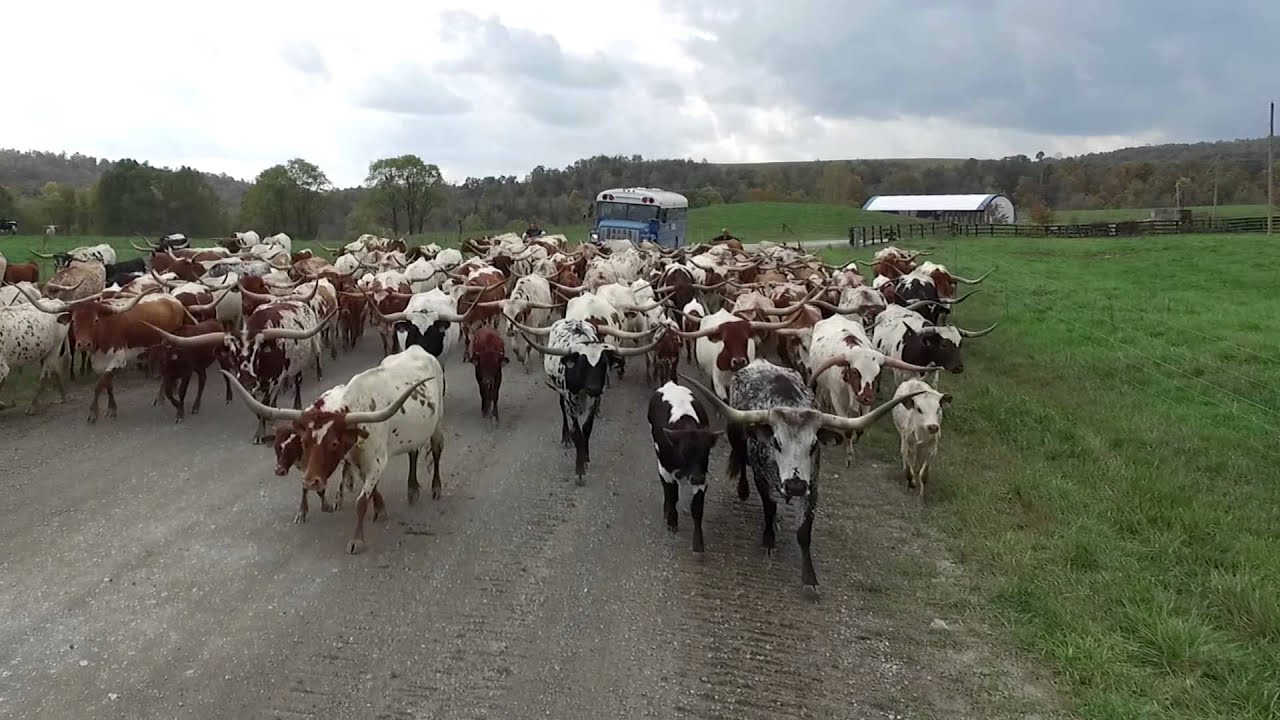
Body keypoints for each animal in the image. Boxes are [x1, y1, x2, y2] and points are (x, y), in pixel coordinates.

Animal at [221, 345, 446, 554]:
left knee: (436, 450)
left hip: (436, 425)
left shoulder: (377, 462)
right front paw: (381, 510)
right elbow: (372, 489)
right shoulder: (356, 461)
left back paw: (436, 488)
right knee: (413, 451)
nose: (310, 482)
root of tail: (418, 349)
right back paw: (412, 490)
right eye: (304, 442)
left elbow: (361, 501)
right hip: (414, 432)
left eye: (334, 444)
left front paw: (357, 540)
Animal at [510, 317, 662, 482]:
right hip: (561, 393)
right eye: (583, 364)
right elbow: (577, 433)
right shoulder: (570, 402)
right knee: (562, 409)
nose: (594, 388)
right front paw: (580, 469)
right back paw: (566, 438)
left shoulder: (593, 403)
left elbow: (587, 430)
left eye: (604, 363)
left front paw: (586, 458)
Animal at [647, 382, 722, 552]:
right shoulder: (665, 470)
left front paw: (698, 543)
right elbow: (671, 495)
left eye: (706, 452)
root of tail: (670, 384)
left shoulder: (702, 476)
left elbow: (697, 508)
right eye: (683, 452)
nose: (696, 478)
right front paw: (672, 521)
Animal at [679, 362, 923, 589]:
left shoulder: (812, 486)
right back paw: (743, 490)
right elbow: (769, 507)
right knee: (740, 457)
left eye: (813, 444)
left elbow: (804, 532)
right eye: (776, 442)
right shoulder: (761, 477)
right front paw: (769, 540)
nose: (794, 486)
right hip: (736, 435)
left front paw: (809, 578)